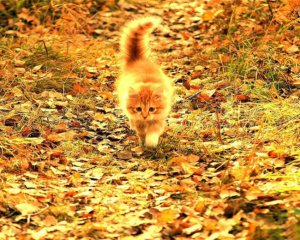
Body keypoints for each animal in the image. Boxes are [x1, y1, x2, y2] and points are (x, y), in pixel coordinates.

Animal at [117, 16, 173, 147]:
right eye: (138, 109)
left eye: (151, 109)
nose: (145, 116)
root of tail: (138, 59)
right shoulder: (137, 120)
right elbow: (141, 132)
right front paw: (143, 141)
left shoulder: (158, 119)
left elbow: (153, 131)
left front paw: (150, 142)